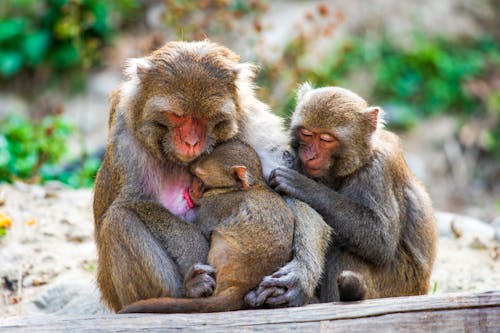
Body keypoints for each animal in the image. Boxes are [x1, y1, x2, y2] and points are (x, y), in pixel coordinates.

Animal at [118, 139, 294, 312]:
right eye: (194, 176)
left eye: (200, 180)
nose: (191, 189)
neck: (251, 185)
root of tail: (242, 286)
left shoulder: (214, 205)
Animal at [270, 83, 438, 300]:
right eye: (306, 133)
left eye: (326, 139)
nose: (310, 156)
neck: (358, 161)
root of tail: (421, 289)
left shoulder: (377, 172)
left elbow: (380, 239)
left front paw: (302, 185)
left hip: (397, 286)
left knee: (345, 253)